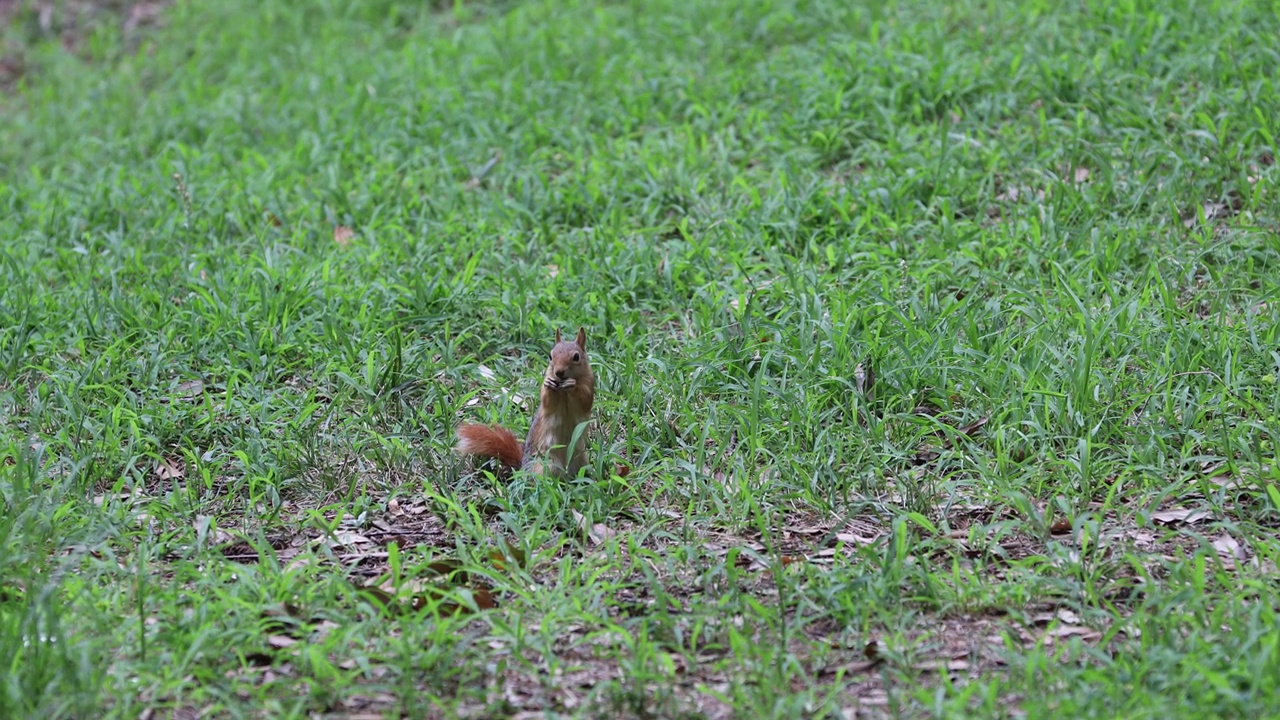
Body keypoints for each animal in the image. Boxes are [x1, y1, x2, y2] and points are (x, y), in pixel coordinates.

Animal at [455, 327, 593, 479]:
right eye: (551, 356)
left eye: (576, 357)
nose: (559, 372)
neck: (563, 391)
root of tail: (522, 467)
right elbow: (547, 402)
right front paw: (549, 384)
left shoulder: (589, 383)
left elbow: (585, 399)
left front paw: (572, 384)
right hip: (545, 465)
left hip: (581, 459)